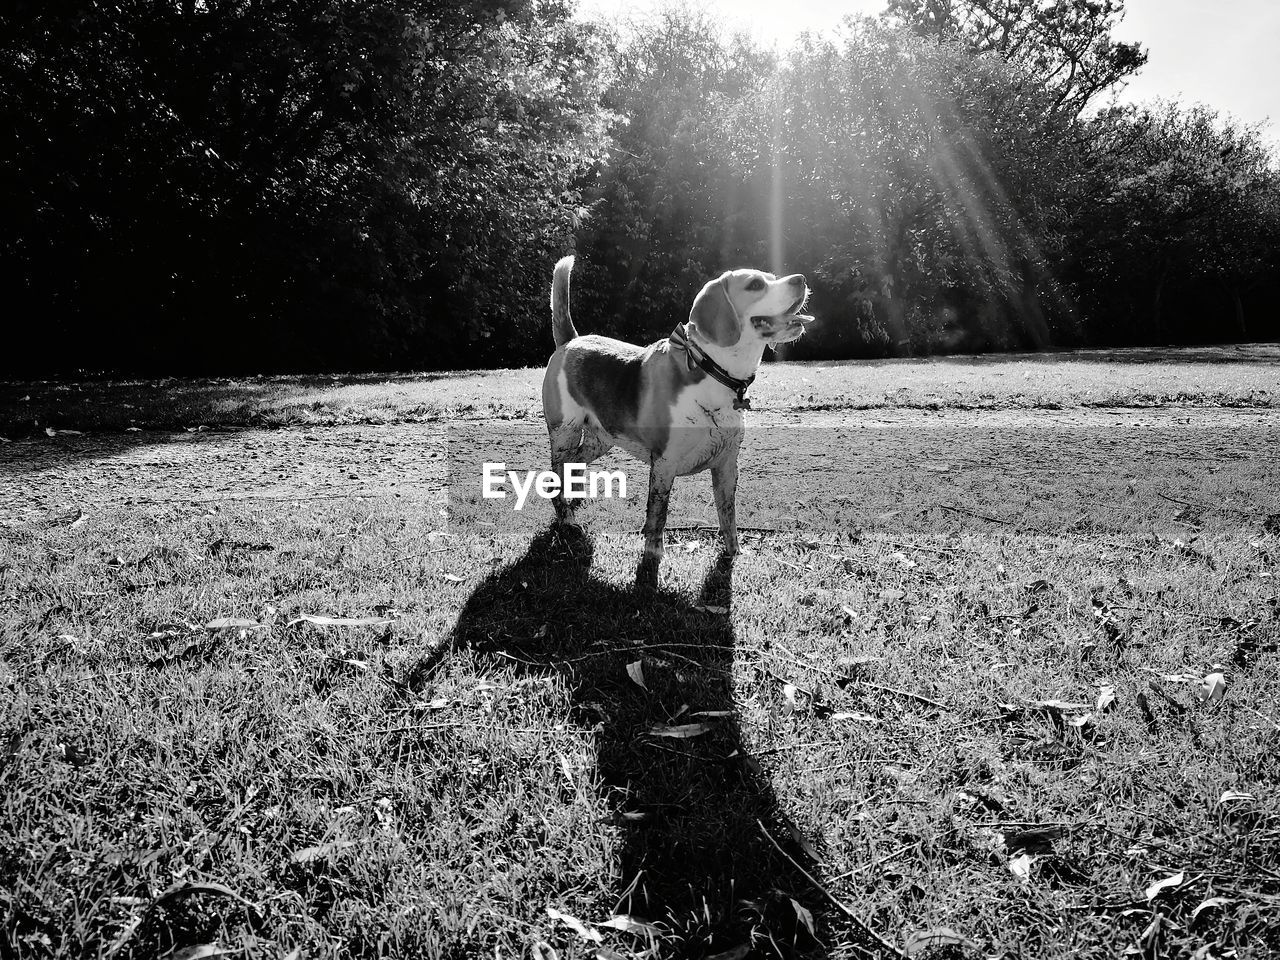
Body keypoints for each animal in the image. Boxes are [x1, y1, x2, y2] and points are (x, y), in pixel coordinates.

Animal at [540, 256, 808, 586]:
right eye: (756, 284)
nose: (801, 279)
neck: (712, 370)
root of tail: (571, 342)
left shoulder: (727, 465)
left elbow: (728, 514)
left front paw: (733, 554)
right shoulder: (664, 464)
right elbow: (658, 515)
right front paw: (653, 556)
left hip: (598, 441)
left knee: (573, 468)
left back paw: (573, 500)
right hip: (564, 433)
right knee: (556, 474)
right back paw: (566, 518)